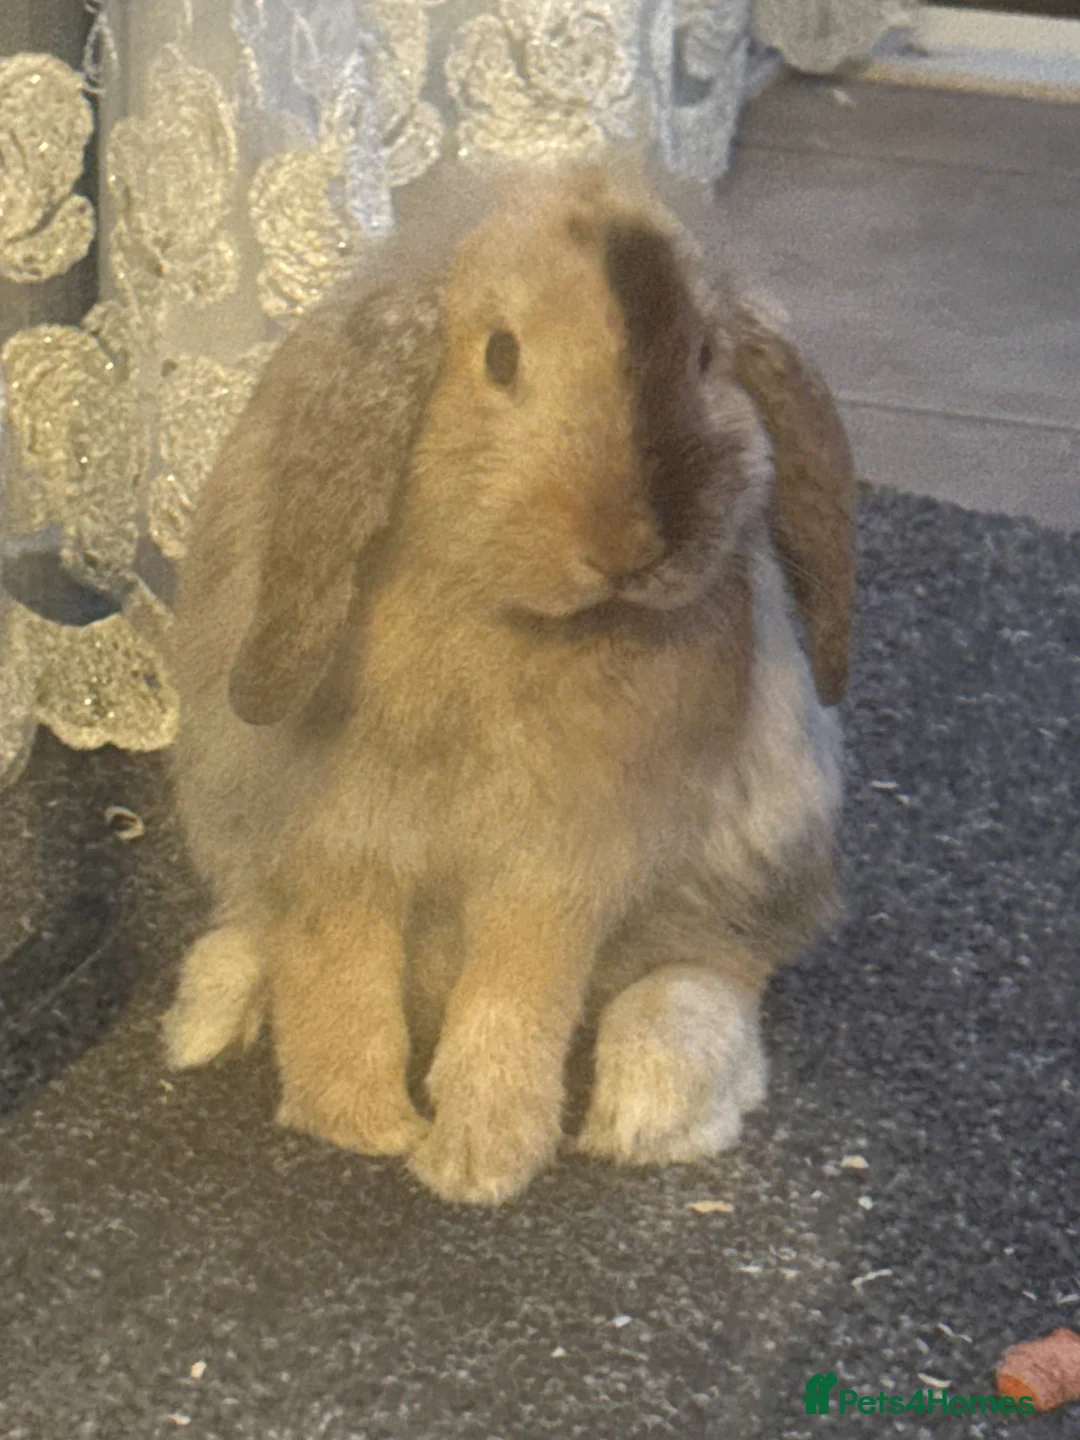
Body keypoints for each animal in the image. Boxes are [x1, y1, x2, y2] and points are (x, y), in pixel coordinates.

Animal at [162, 162, 856, 1206]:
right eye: (498, 355)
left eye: (705, 356)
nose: (631, 547)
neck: (507, 618)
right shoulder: (331, 836)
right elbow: (337, 972)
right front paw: (358, 1127)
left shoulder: (562, 863)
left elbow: (515, 996)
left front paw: (475, 1163)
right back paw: (207, 1014)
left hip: (755, 857)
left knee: (711, 970)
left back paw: (652, 1107)